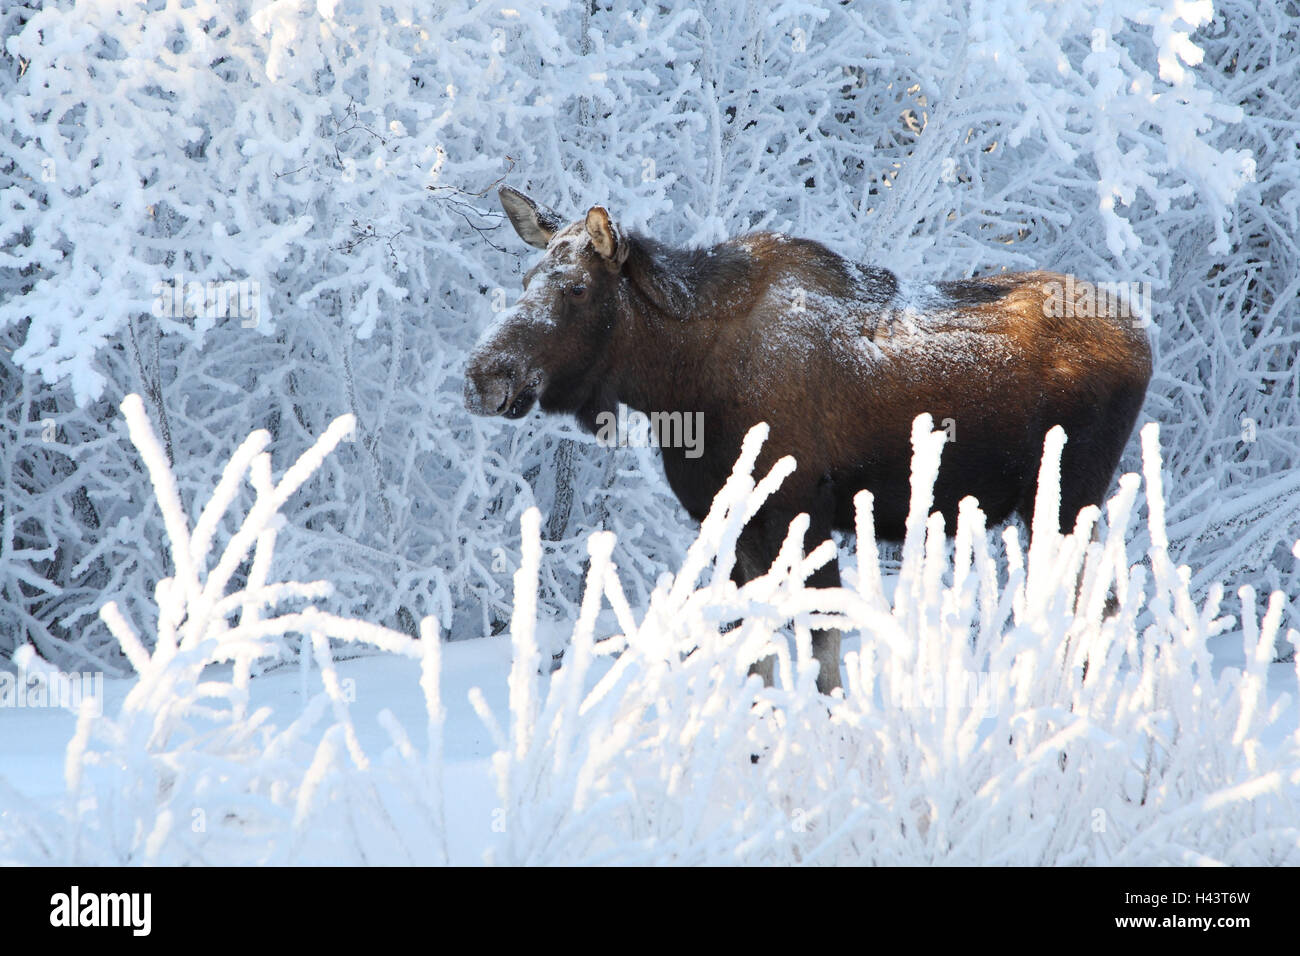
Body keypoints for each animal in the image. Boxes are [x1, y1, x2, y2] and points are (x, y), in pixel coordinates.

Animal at [462, 187, 1154, 697]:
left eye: (577, 287)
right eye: (526, 277)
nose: (483, 376)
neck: (677, 383)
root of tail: (1144, 340)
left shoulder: (800, 509)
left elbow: (821, 648)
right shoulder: (736, 518)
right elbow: (758, 644)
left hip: (1069, 498)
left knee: (1099, 603)